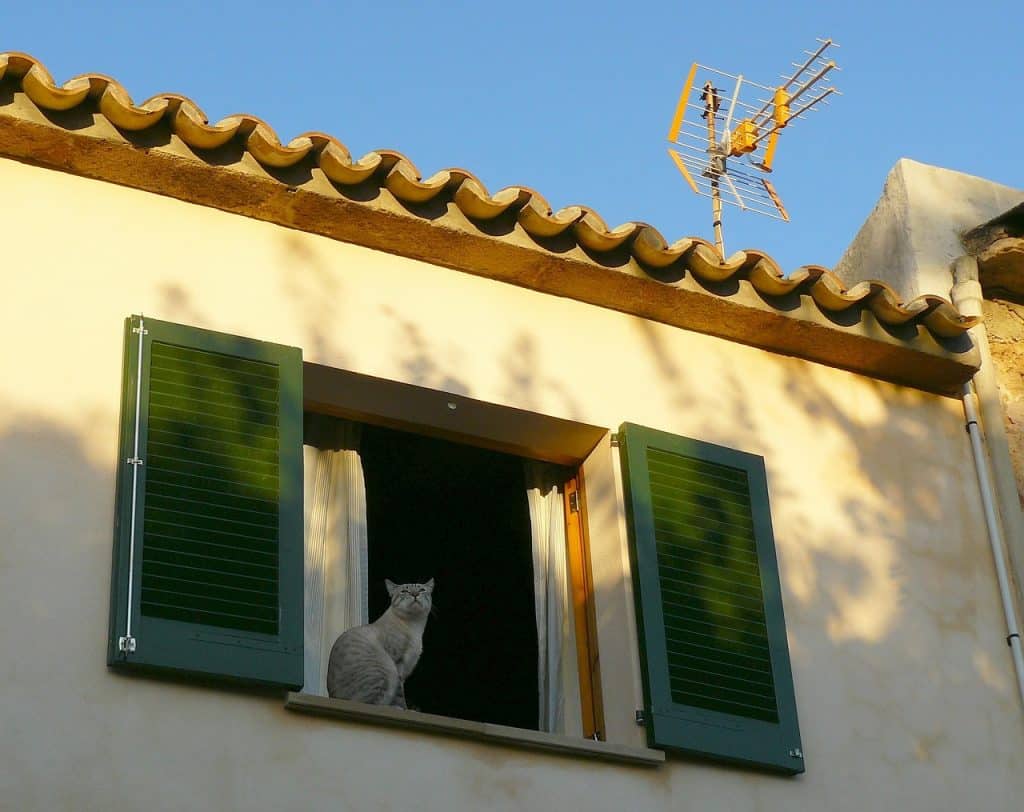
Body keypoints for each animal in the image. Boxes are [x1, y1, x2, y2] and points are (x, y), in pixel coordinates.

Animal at [325, 577, 434, 708]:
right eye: (404, 591)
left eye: (421, 590)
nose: (415, 594)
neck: (414, 626)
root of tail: (332, 697)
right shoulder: (398, 663)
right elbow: (400, 696)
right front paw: (403, 709)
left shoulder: (405, 670)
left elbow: (401, 690)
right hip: (385, 671)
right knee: (371, 703)